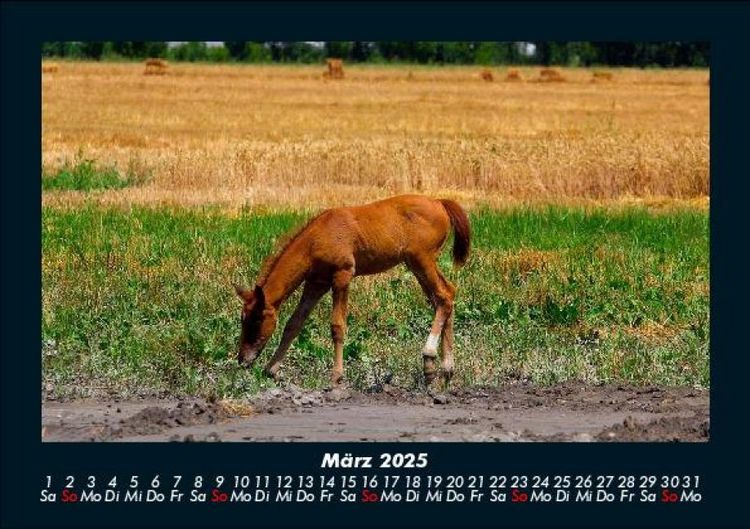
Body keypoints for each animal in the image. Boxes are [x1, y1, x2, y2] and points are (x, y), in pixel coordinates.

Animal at [233, 194, 471, 387]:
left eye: (256, 320)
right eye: (242, 319)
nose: (242, 359)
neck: (316, 239)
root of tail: (439, 202)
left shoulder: (342, 275)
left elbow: (337, 326)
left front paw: (336, 376)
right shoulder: (316, 283)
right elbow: (294, 323)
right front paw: (271, 369)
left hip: (422, 259)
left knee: (444, 296)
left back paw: (430, 357)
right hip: (416, 264)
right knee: (444, 296)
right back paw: (444, 370)